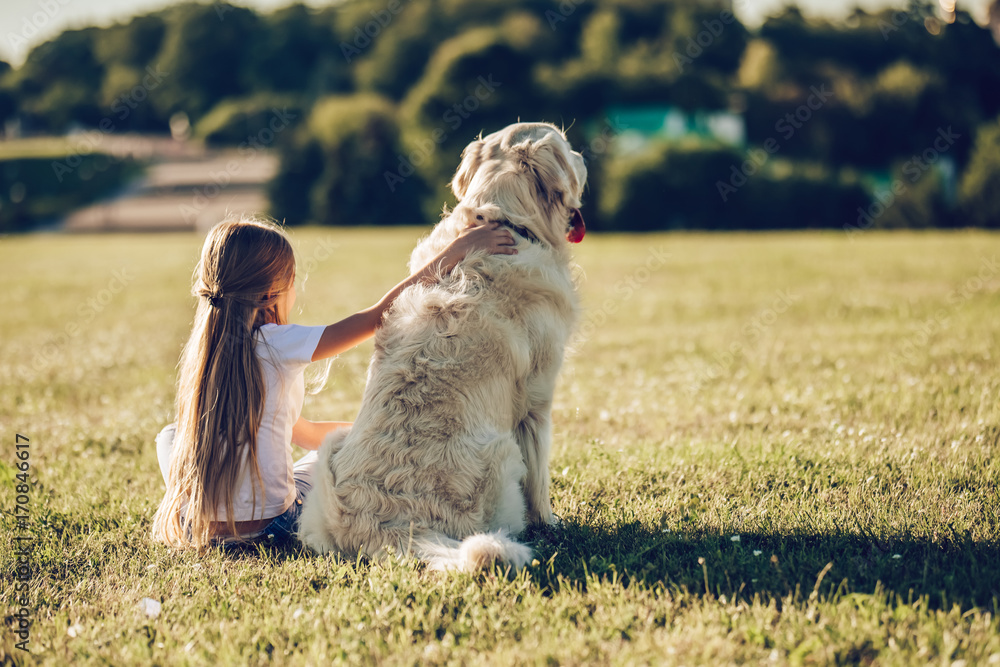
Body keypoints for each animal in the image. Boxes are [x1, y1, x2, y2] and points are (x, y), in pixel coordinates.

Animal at [300, 122, 588, 572]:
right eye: (568, 147)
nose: (584, 157)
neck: (505, 219)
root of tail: (387, 528)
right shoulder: (538, 398)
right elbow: (540, 476)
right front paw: (552, 523)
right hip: (502, 453)